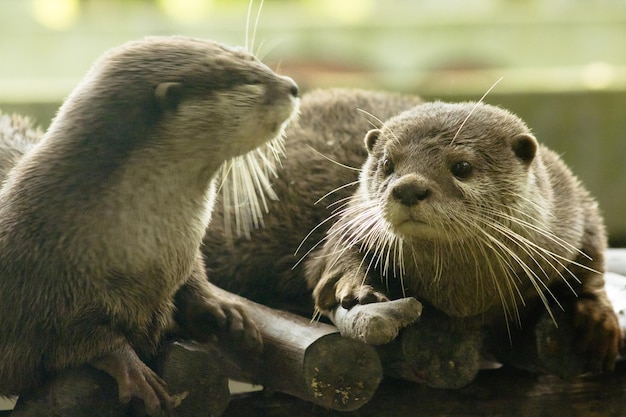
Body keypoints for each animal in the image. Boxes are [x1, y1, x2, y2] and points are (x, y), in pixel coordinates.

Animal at [0, 35, 298, 412]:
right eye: (249, 82)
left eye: (253, 59)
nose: (293, 87)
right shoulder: (36, 293)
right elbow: (76, 339)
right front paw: (132, 368)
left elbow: (191, 285)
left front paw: (224, 309)